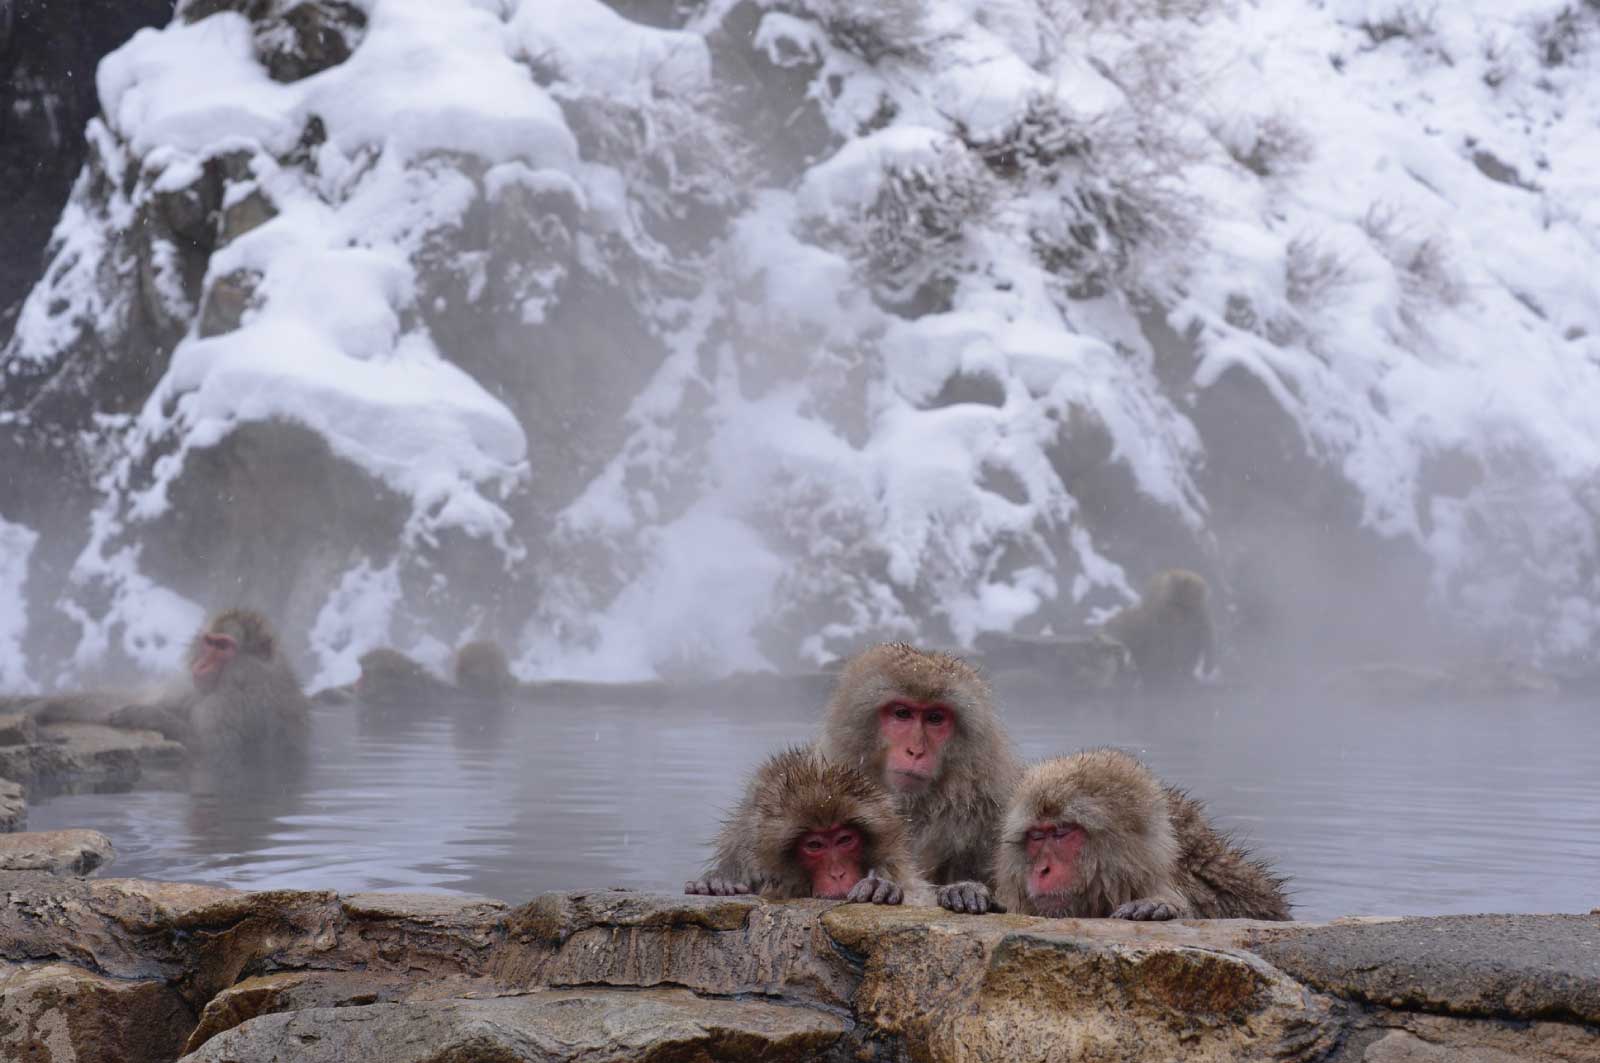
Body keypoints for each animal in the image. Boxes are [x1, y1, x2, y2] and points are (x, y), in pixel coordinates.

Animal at [819, 643, 1017, 909]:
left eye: (935, 718)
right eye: (902, 713)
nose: (915, 751)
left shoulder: (993, 810)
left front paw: (965, 890)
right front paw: (878, 886)